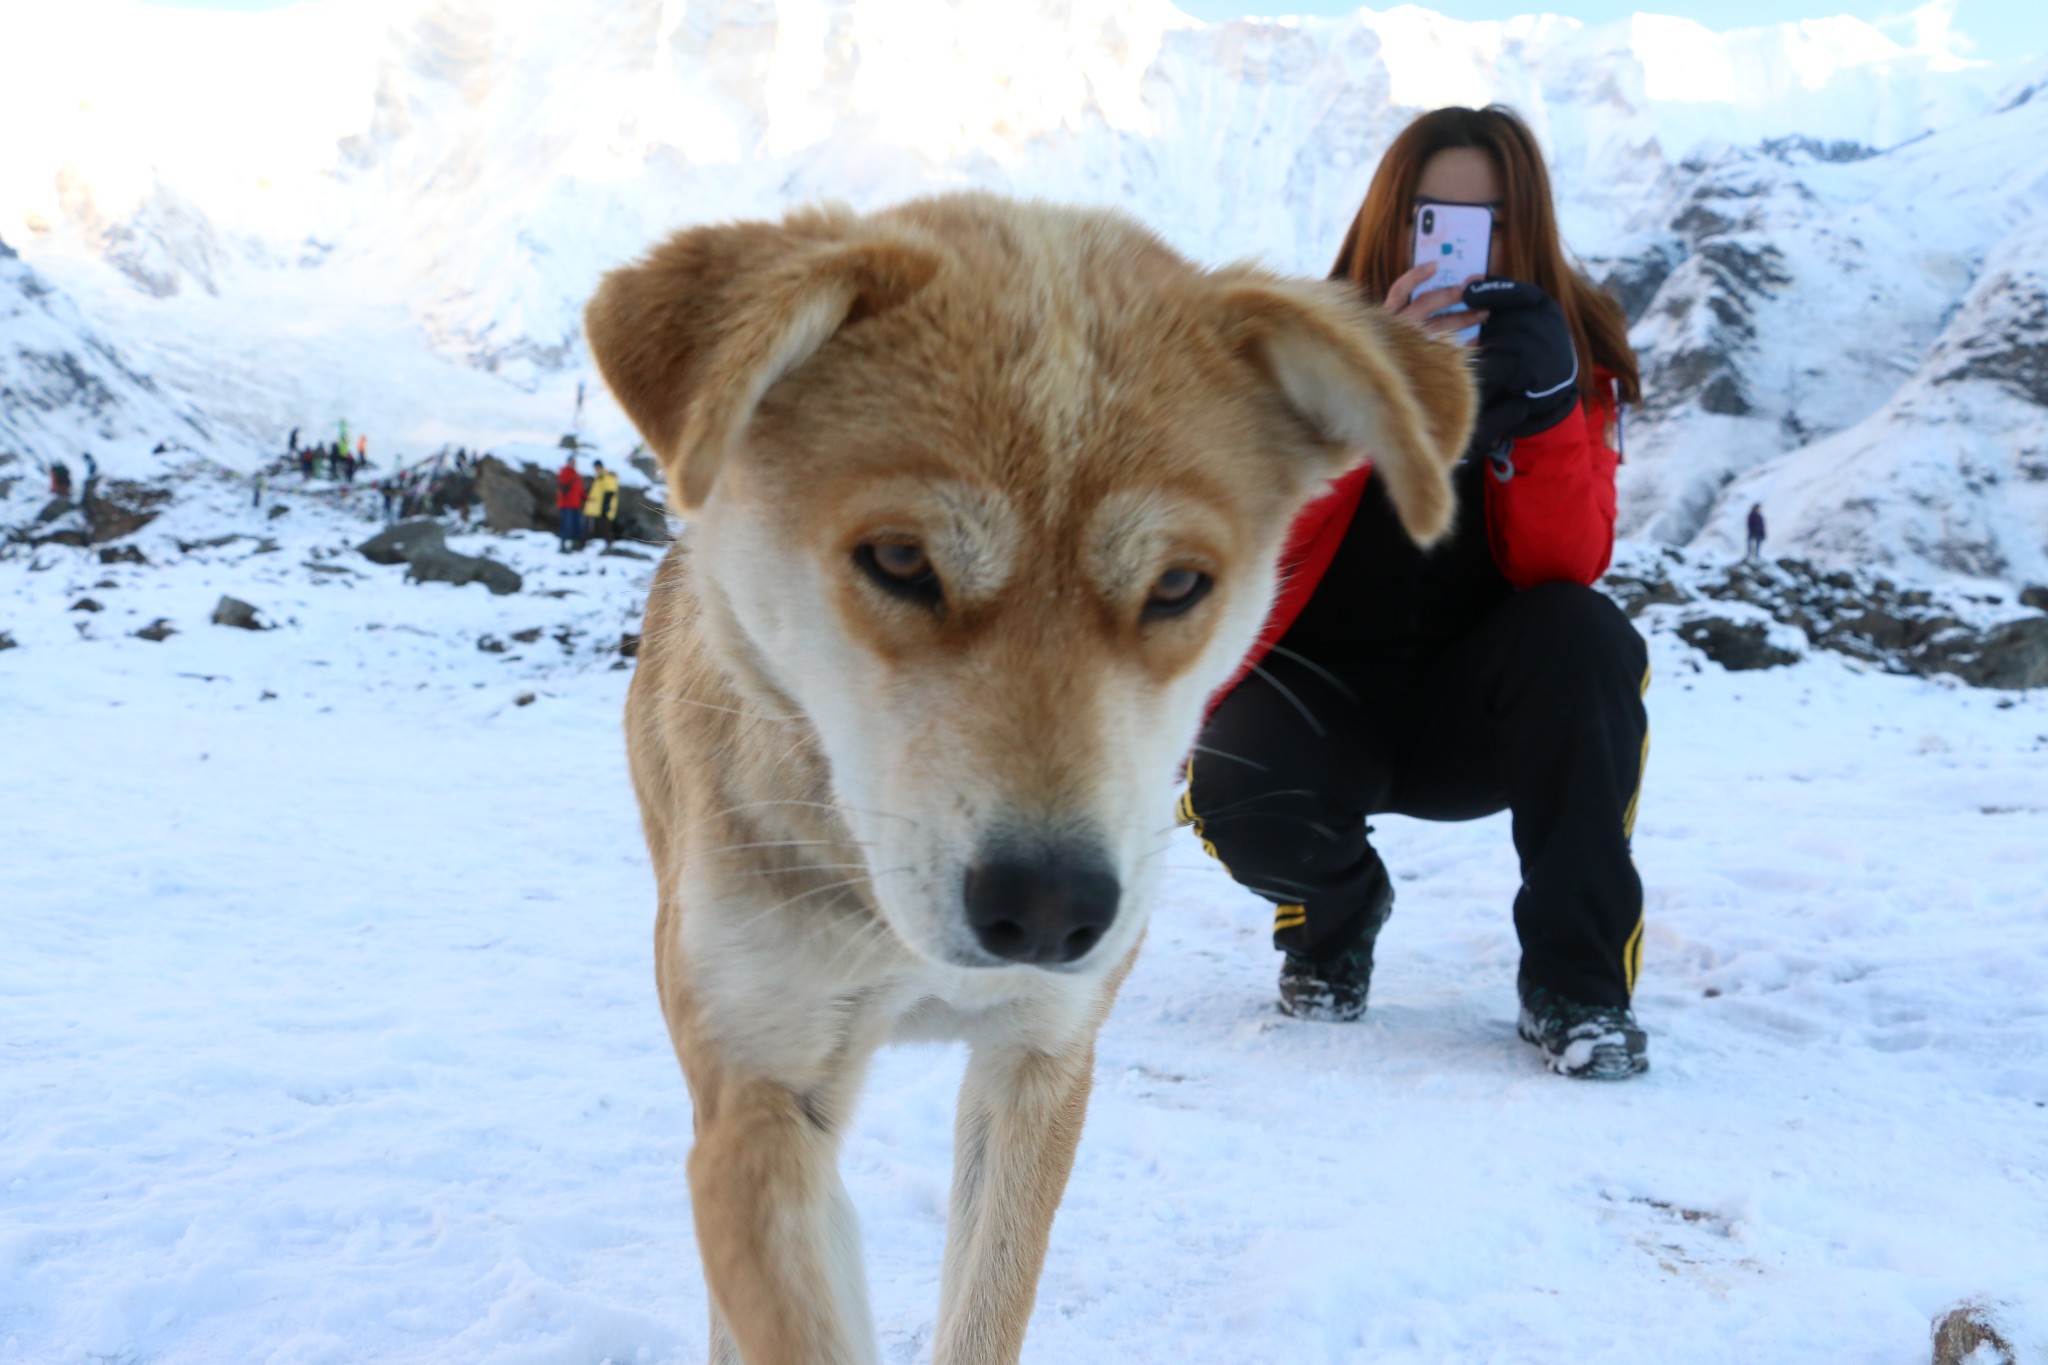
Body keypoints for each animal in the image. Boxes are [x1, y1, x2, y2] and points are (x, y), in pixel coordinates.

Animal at [585, 194, 1466, 1365]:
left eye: (1178, 585)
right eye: (899, 560)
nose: (1049, 907)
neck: (881, 916)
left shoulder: (1041, 1060)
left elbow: (986, 1306)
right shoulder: (760, 1089)